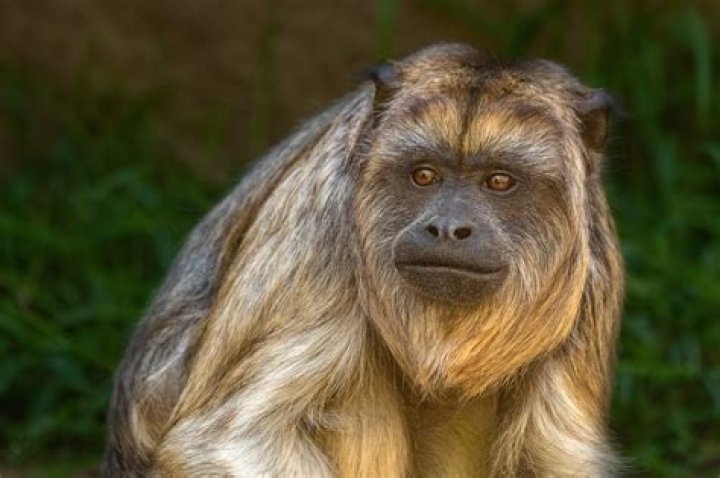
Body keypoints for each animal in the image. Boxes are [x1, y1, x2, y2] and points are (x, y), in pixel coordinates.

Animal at [103, 43, 624, 477]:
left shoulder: (594, 272)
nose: (447, 228)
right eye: (423, 176)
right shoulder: (324, 228)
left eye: (499, 181)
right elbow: (228, 439)